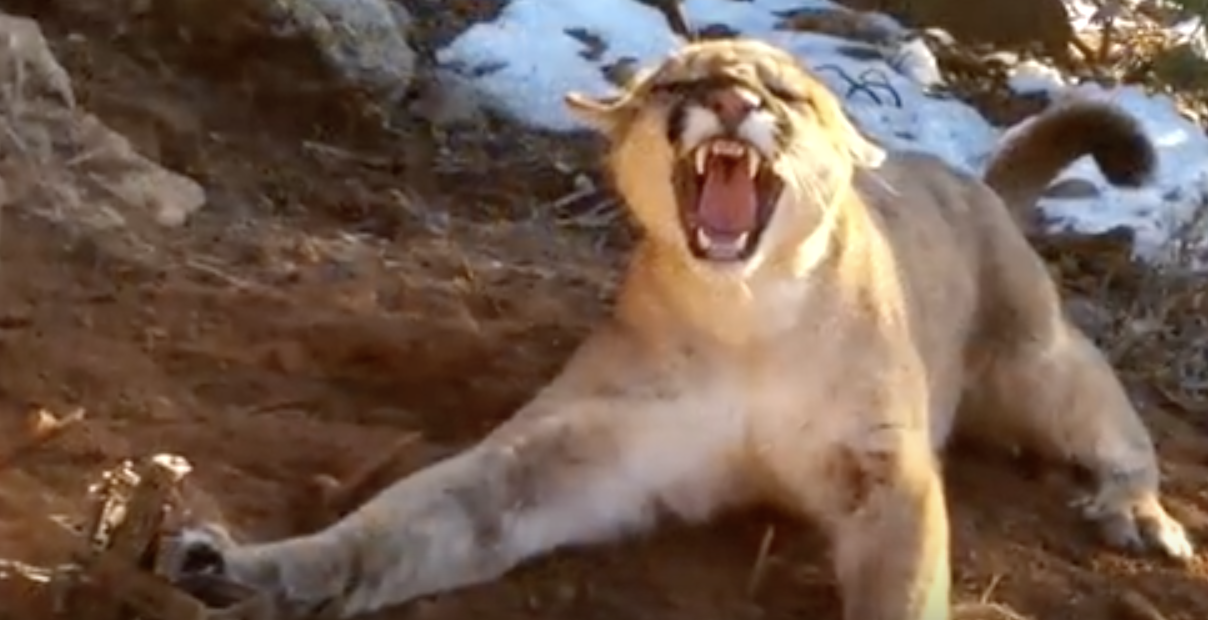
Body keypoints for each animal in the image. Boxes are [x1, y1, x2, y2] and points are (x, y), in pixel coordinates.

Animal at [168, 38, 1194, 620]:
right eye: (686, 80)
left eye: (788, 96)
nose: (734, 100)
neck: (749, 319)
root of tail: (966, 177)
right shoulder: (570, 450)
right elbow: (406, 523)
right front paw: (246, 568)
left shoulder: (884, 468)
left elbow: (900, 589)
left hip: (1035, 362)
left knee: (1117, 419)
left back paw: (1138, 513)